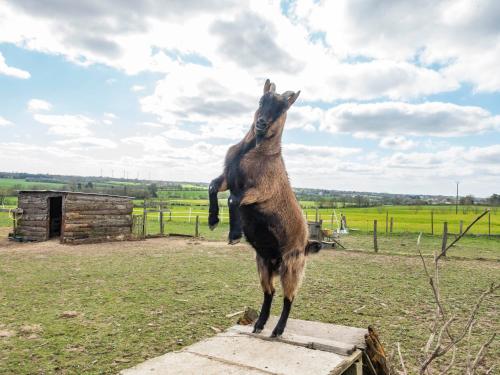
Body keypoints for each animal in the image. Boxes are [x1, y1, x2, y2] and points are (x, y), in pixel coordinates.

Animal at [208, 79, 322, 338]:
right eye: (261, 100)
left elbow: (233, 200)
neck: (255, 151)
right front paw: (212, 220)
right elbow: (212, 186)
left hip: (292, 265)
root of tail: (306, 244)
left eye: (283, 108)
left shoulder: (260, 191)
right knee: (269, 293)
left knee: (289, 297)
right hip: (263, 264)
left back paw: (277, 330)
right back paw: (259, 324)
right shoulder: (228, 178)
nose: (261, 123)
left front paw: (234, 234)